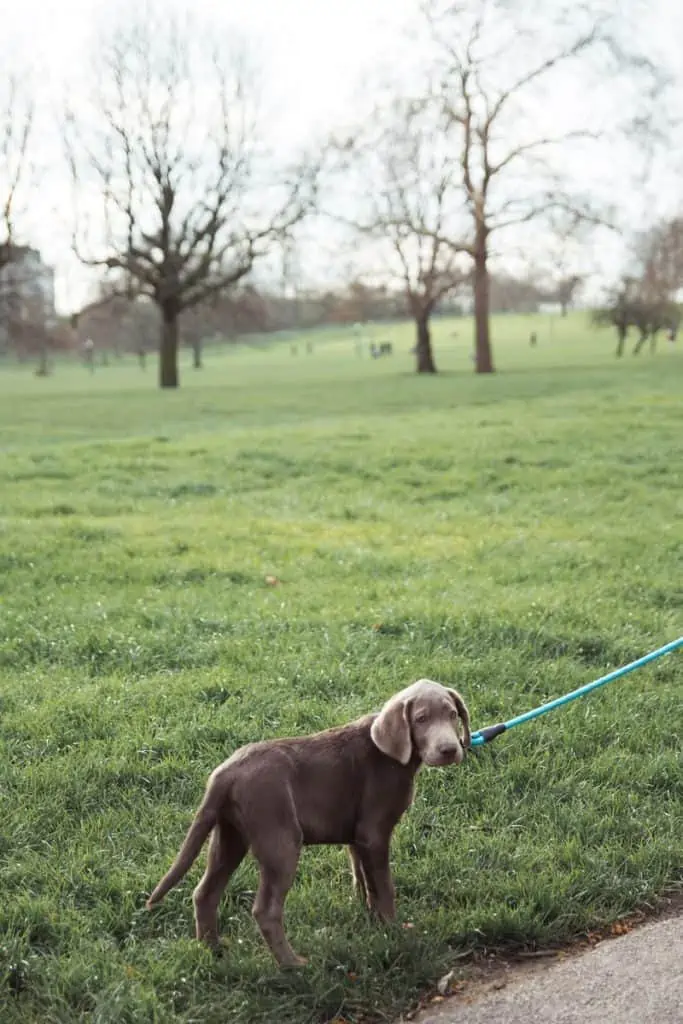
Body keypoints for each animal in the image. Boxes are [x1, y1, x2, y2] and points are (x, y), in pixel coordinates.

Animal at [148, 679, 471, 966]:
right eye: (421, 719)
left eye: (453, 714)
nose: (449, 750)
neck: (395, 755)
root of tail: (224, 773)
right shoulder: (374, 833)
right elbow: (384, 887)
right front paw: (394, 931)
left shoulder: (358, 837)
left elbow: (364, 881)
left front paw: (372, 921)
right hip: (280, 842)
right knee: (265, 910)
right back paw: (292, 965)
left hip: (229, 836)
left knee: (204, 893)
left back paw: (213, 951)